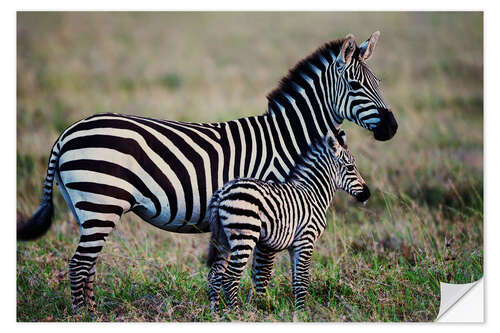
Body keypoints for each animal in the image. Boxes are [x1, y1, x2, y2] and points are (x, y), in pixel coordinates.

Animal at [205, 131, 370, 310]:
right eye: (350, 167)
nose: (368, 194)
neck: (314, 194)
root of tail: (222, 191)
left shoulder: (294, 245)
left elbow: (296, 280)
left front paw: (297, 310)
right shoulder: (306, 239)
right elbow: (303, 280)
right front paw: (302, 311)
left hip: (223, 239)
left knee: (215, 275)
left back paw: (215, 311)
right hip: (245, 235)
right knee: (230, 277)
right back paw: (235, 312)